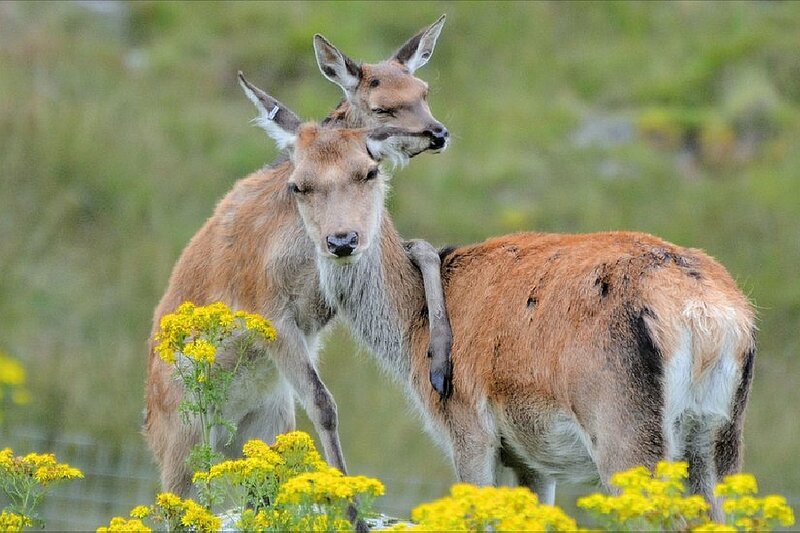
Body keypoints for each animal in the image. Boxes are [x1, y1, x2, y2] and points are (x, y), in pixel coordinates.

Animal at [144, 16, 455, 497]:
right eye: (382, 107)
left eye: (423, 90)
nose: (437, 134)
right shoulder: (270, 310)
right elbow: (324, 403)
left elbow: (426, 250)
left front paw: (440, 365)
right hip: (183, 438)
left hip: (263, 420)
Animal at [251, 99, 757, 520]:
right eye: (298, 186)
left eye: (370, 172)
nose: (342, 240)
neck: (411, 329)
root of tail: (709, 319)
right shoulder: (531, 459)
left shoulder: (467, 429)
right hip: (719, 438)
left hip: (625, 431)